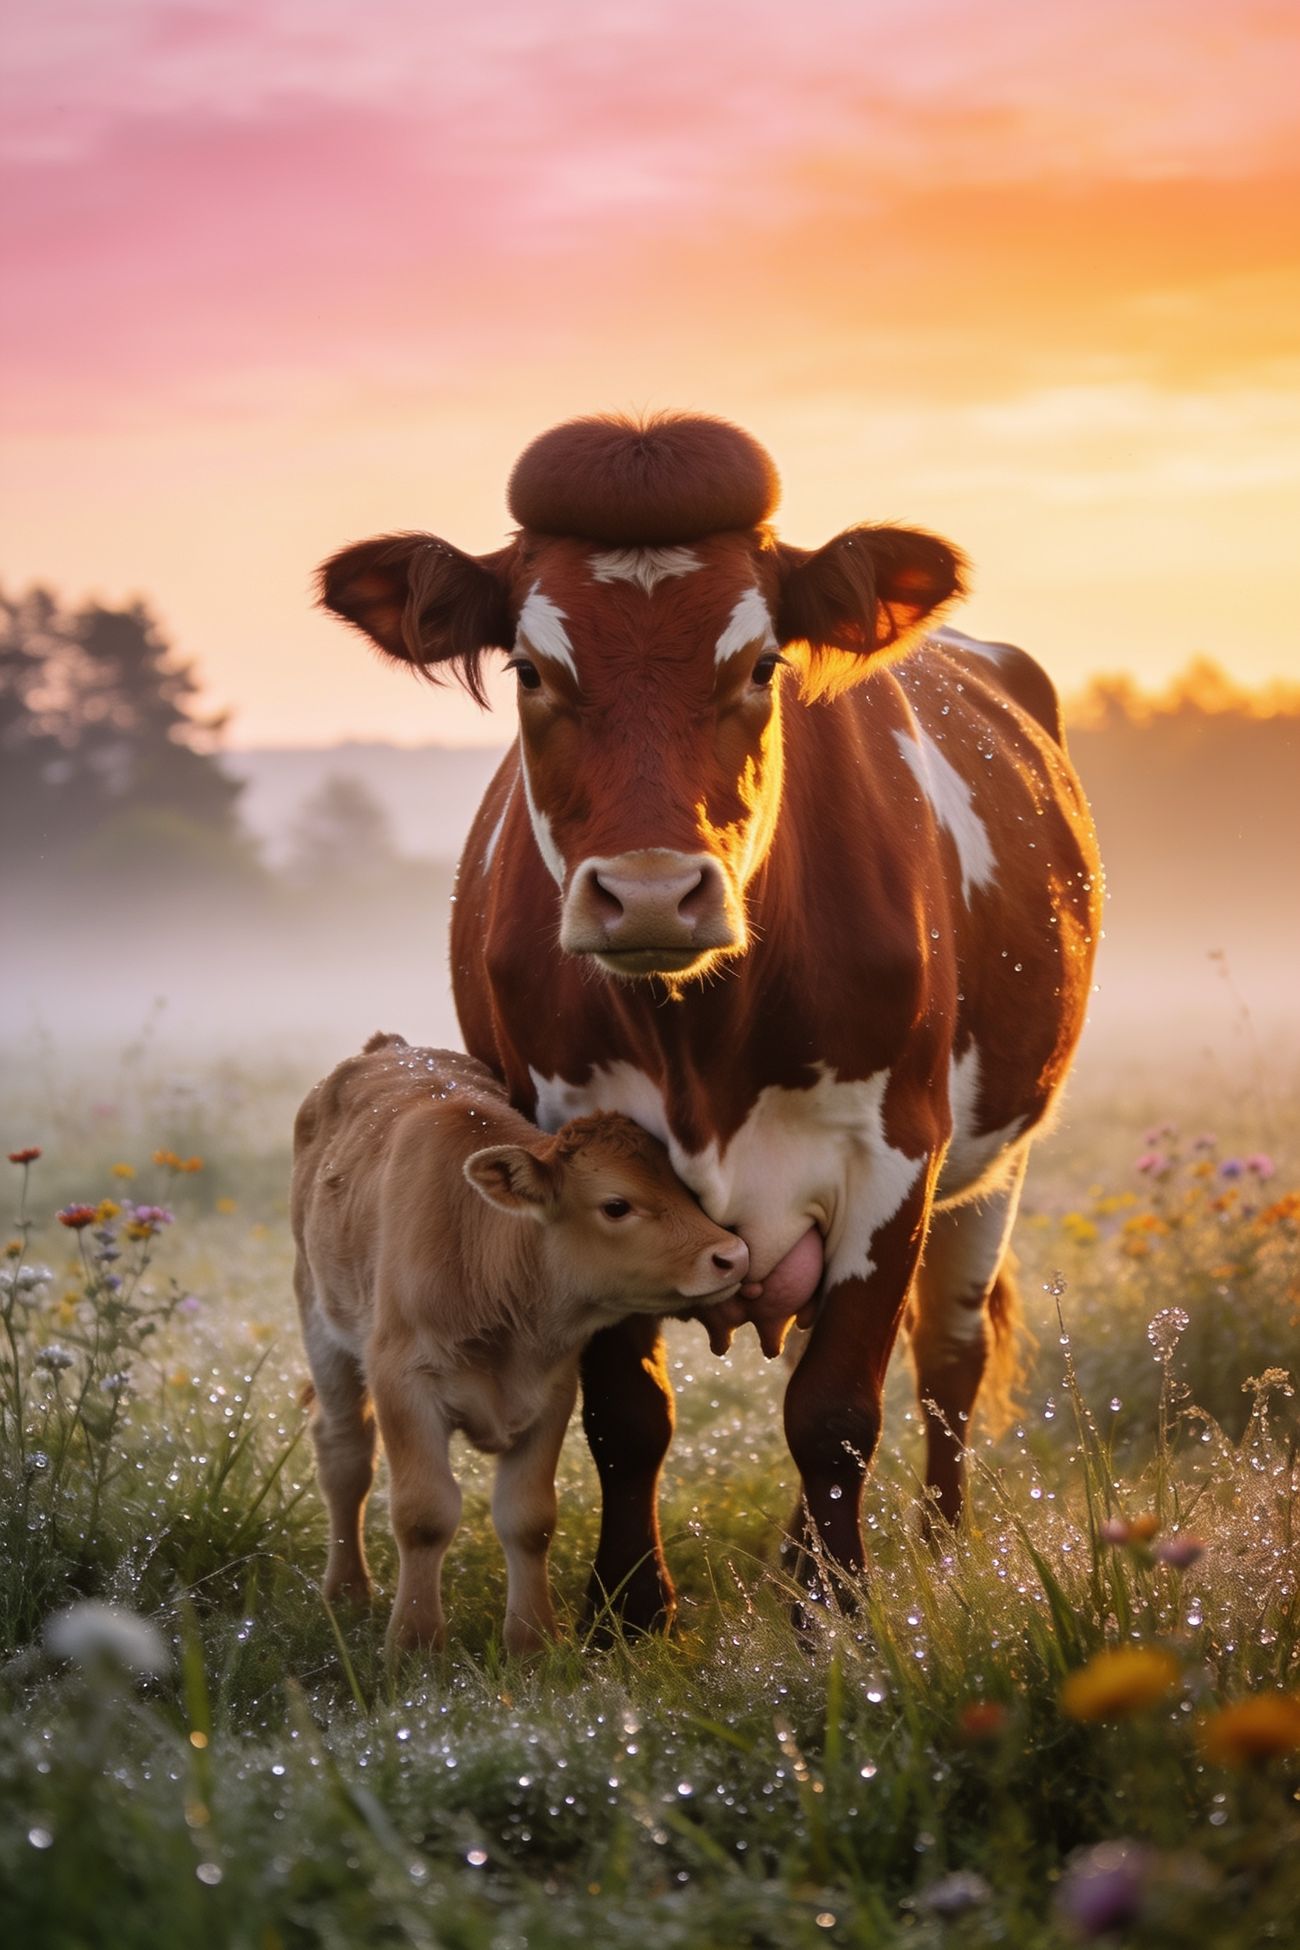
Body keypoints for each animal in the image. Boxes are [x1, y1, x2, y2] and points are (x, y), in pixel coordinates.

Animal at [292, 1032, 749, 1653]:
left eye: (686, 1189)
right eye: (616, 1205)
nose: (732, 1255)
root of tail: (390, 1047)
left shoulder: (551, 1390)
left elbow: (529, 1518)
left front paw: (533, 1641)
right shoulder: (402, 1381)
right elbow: (423, 1514)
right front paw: (415, 1642)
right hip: (323, 1325)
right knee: (344, 1452)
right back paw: (346, 1590)